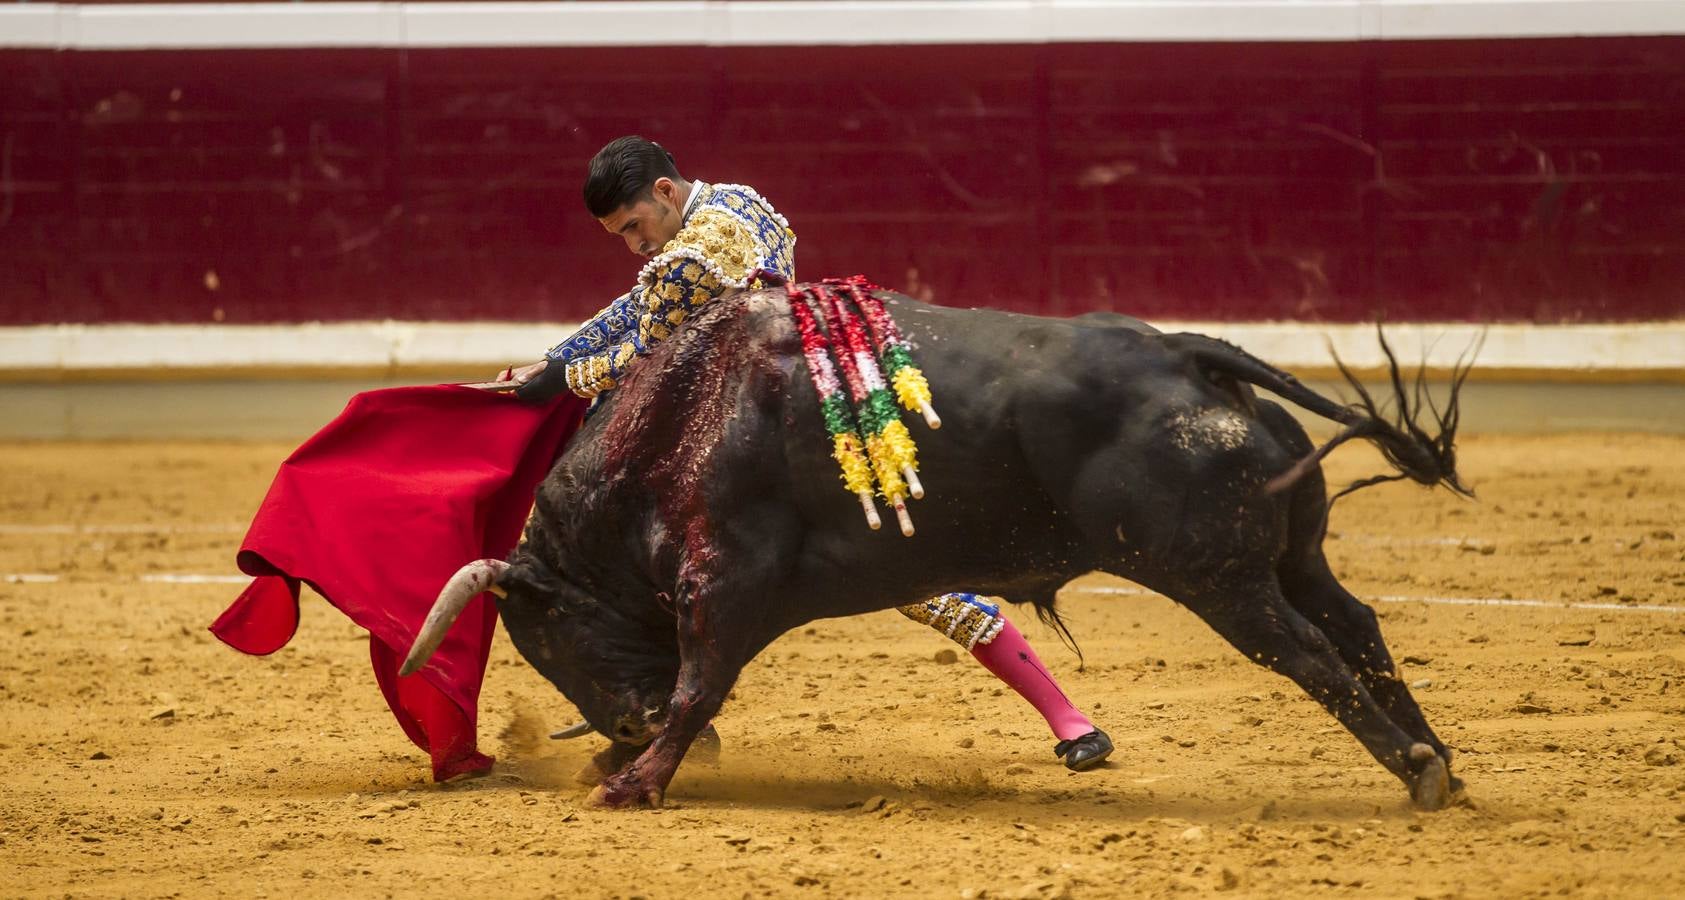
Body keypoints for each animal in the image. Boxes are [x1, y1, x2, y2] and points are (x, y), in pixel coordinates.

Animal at [401, 293, 1469, 815]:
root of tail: (1182, 353)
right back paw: (1443, 768)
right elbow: (697, 689)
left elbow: (699, 685)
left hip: (1216, 577)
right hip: (1292, 558)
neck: (679, 422)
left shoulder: (724, 582)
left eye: (544, 635)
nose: (621, 729)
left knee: (1307, 652)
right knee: (1353, 624)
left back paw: (1416, 767)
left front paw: (631, 785)